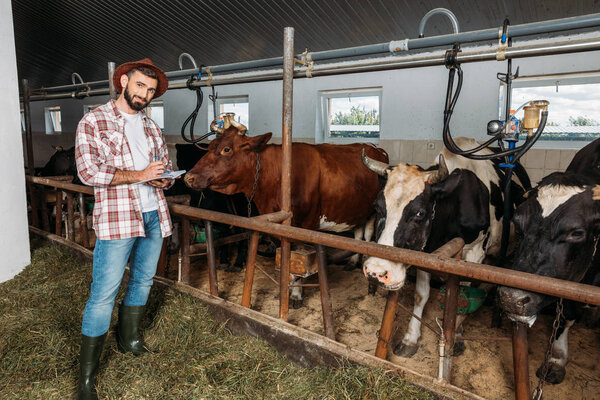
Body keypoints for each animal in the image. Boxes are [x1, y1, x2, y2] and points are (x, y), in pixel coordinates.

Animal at [184, 115, 390, 306]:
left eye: (226, 149)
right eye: (209, 147)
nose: (188, 177)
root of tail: (374, 148)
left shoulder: (306, 225)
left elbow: (296, 263)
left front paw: (296, 295)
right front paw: (287, 291)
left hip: (373, 212)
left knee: (367, 236)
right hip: (356, 208)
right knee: (358, 233)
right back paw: (352, 262)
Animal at [360, 137, 528, 356]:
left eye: (420, 213)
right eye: (377, 207)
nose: (376, 272)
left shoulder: (475, 252)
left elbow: (463, 298)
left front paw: (457, 337)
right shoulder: (426, 250)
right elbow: (421, 295)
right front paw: (410, 338)